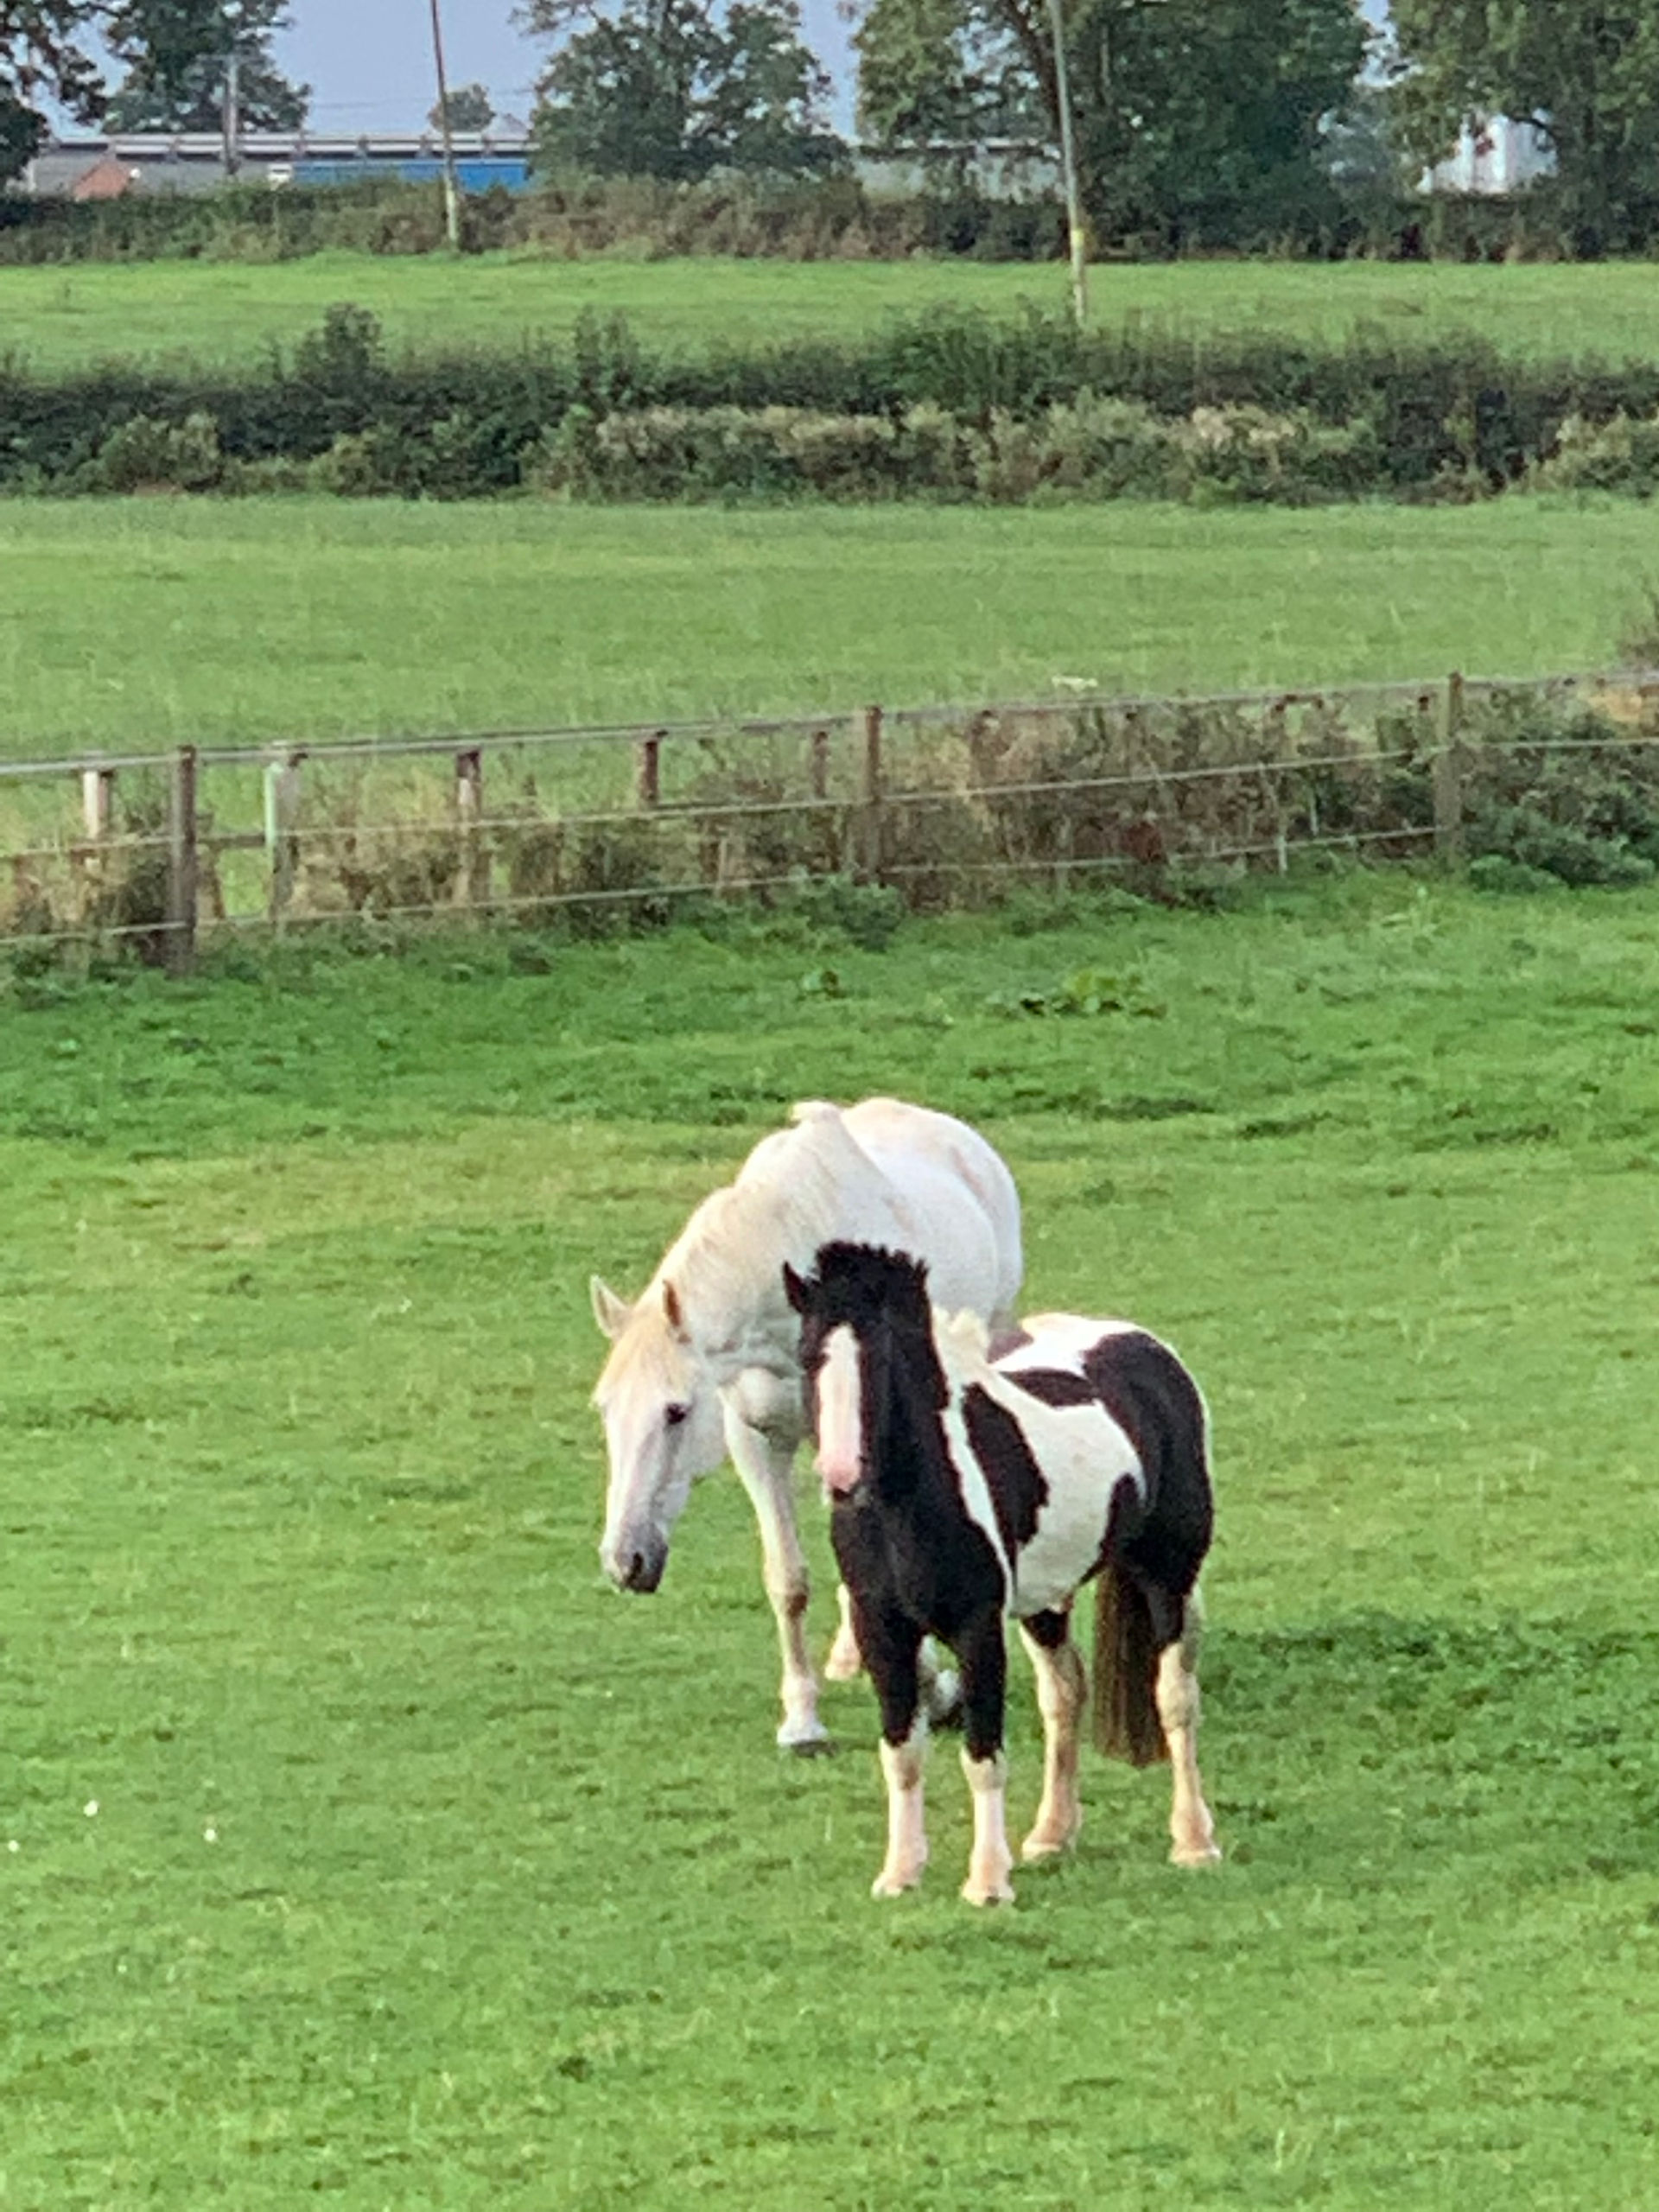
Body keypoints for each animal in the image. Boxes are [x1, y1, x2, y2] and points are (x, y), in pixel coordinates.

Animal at [590, 1099, 1023, 1751]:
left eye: (676, 1410)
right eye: (605, 1408)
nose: (625, 1561)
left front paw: (935, 1690)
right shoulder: (755, 1439)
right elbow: (787, 1578)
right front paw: (802, 1721)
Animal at [784, 1240, 1220, 1903]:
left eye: (881, 1360)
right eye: (808, 1357)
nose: (840, 1478)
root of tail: (1147, 1349)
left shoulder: (978, 1628)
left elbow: (982, 1753)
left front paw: (988, 1881)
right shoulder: (881, 1630)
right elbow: (901, 1752)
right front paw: (900, 1872)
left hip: (1168, 1577)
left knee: (1174, 1697)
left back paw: (1194, 1841)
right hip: (1046, 1602)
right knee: (1064, 1696)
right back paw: (1051, 1835)